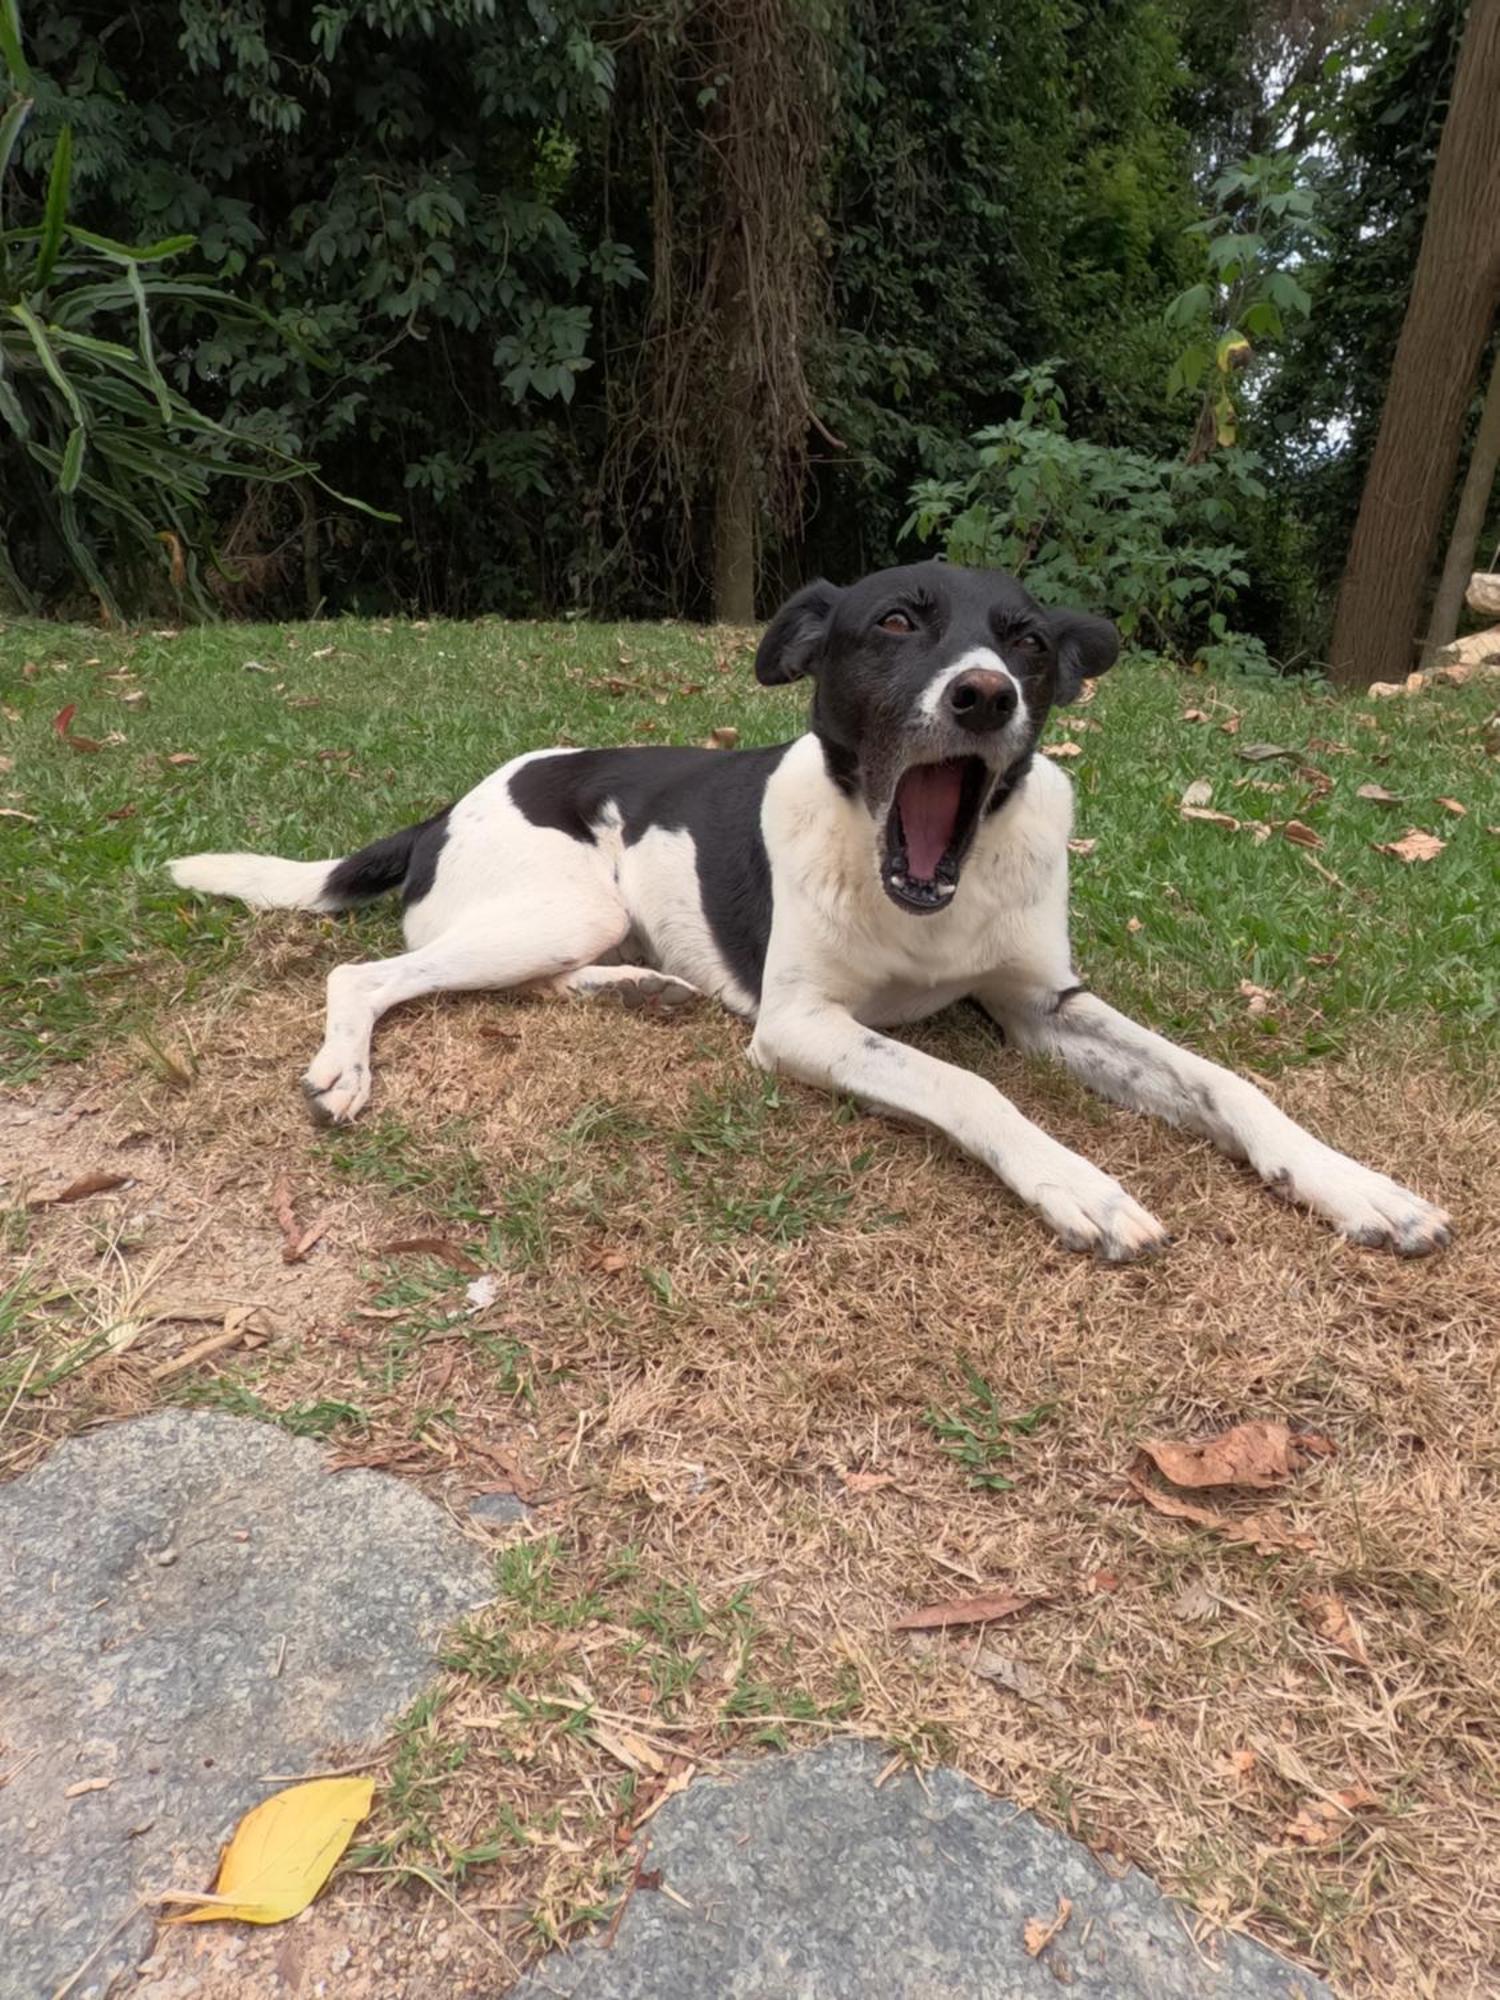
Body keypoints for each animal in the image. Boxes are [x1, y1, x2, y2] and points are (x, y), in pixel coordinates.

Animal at [173, 560, 1456, 1264]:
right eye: (895, 622)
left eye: (1027, 640)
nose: (984, 696)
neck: (926, 887)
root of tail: (448, 802)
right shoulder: (804, 1023)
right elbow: (968, 1085)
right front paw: (1079, 1184)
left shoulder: (1043, 1005)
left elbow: (1227, 1083)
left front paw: (1355, 1184)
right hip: (558, 900)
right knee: (369, 975)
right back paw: (345, 1068)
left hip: (567, 925)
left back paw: (642, 987)